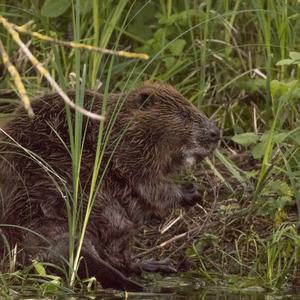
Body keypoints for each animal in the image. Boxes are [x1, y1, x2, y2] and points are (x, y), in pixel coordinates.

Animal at [0, 82, 220, 290]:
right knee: (118, 249)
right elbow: (151, 186)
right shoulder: (127, 151)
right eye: (184, 115)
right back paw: (153, 265)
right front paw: (190, 192)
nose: (215, 133)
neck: (120, 123)